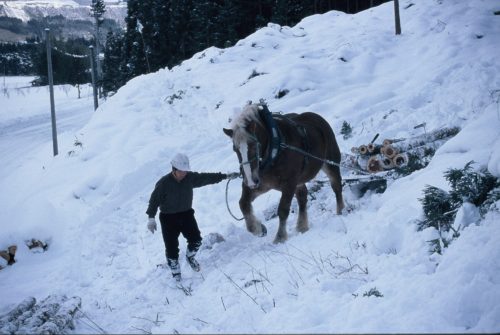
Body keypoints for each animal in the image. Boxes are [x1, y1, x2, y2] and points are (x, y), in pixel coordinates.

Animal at [223, 103, 344, 244]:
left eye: (253, 144)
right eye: (235, 149)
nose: (251, 180)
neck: (275, 150)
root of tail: (317, 118)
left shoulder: (289, 183)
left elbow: (283, 210)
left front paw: (280, 237)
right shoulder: (262, 184)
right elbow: (243, 203)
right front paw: (257, 228)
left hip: (330, 163)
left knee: (336, 186)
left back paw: (341, 210)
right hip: (298, 180)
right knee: (302, 197)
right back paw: (302, 226)